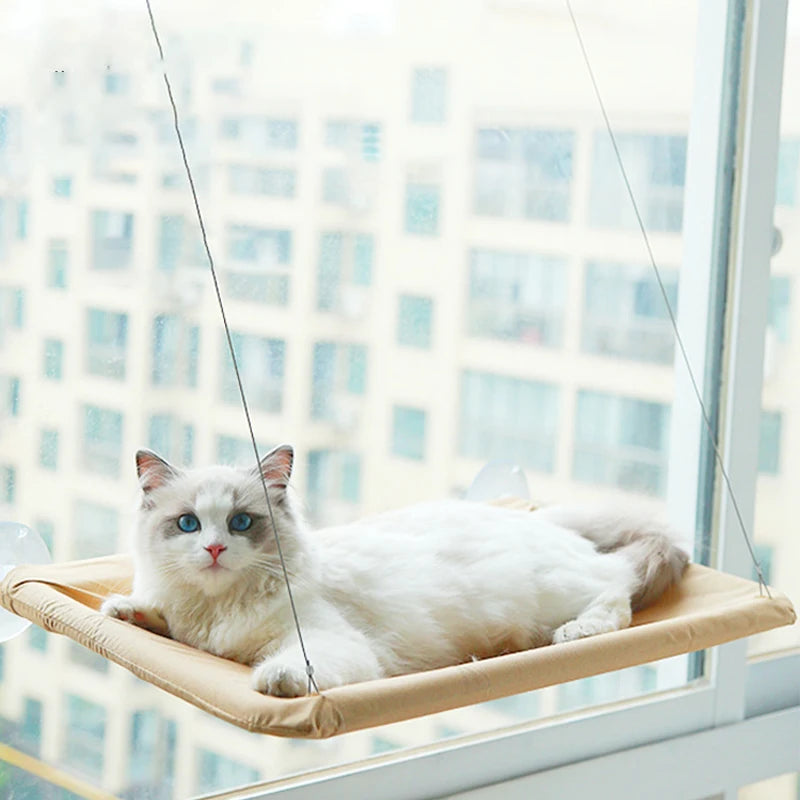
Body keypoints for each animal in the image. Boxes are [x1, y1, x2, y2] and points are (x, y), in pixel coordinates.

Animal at [100, 446, 688, 696]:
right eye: (189, 524)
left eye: (241, 522)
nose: (216, 549)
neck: (217, 609)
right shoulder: (187, 625)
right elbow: (156, 616)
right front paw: (123, 610)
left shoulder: (327, 642)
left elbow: (293, 665)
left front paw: (276, 679)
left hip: (554, 593)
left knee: (616, 593)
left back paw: (577, 632)